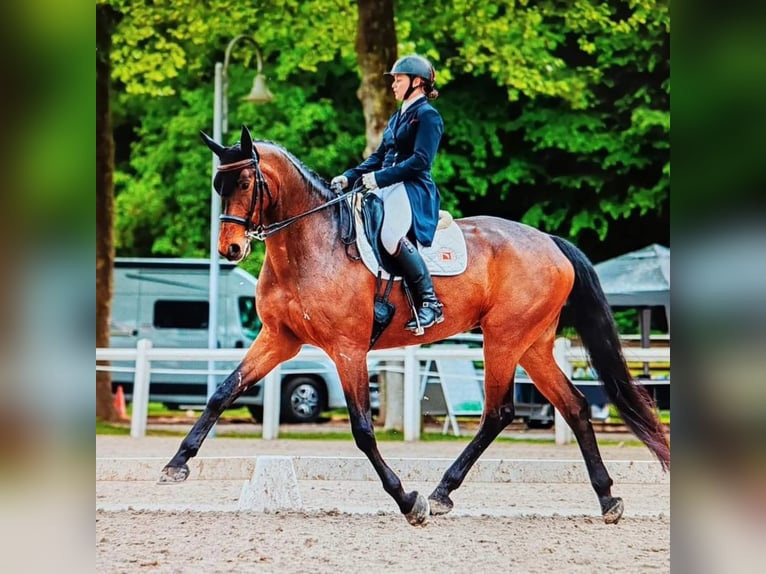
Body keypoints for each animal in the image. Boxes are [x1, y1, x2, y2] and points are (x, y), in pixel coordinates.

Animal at [159, 125, 668, 528]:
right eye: (218, 184)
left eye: (246, 181)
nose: (230, 250)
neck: (310, 246)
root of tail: (550, 242)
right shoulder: (279, 339)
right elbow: (222, 392)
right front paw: (177, 465)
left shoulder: (347, 349)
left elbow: (363, 429)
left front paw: (408, 501)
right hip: (533, 345)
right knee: (576, 406)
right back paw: (607, 498)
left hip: (504, 339)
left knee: (499, 413)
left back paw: (441, 493)